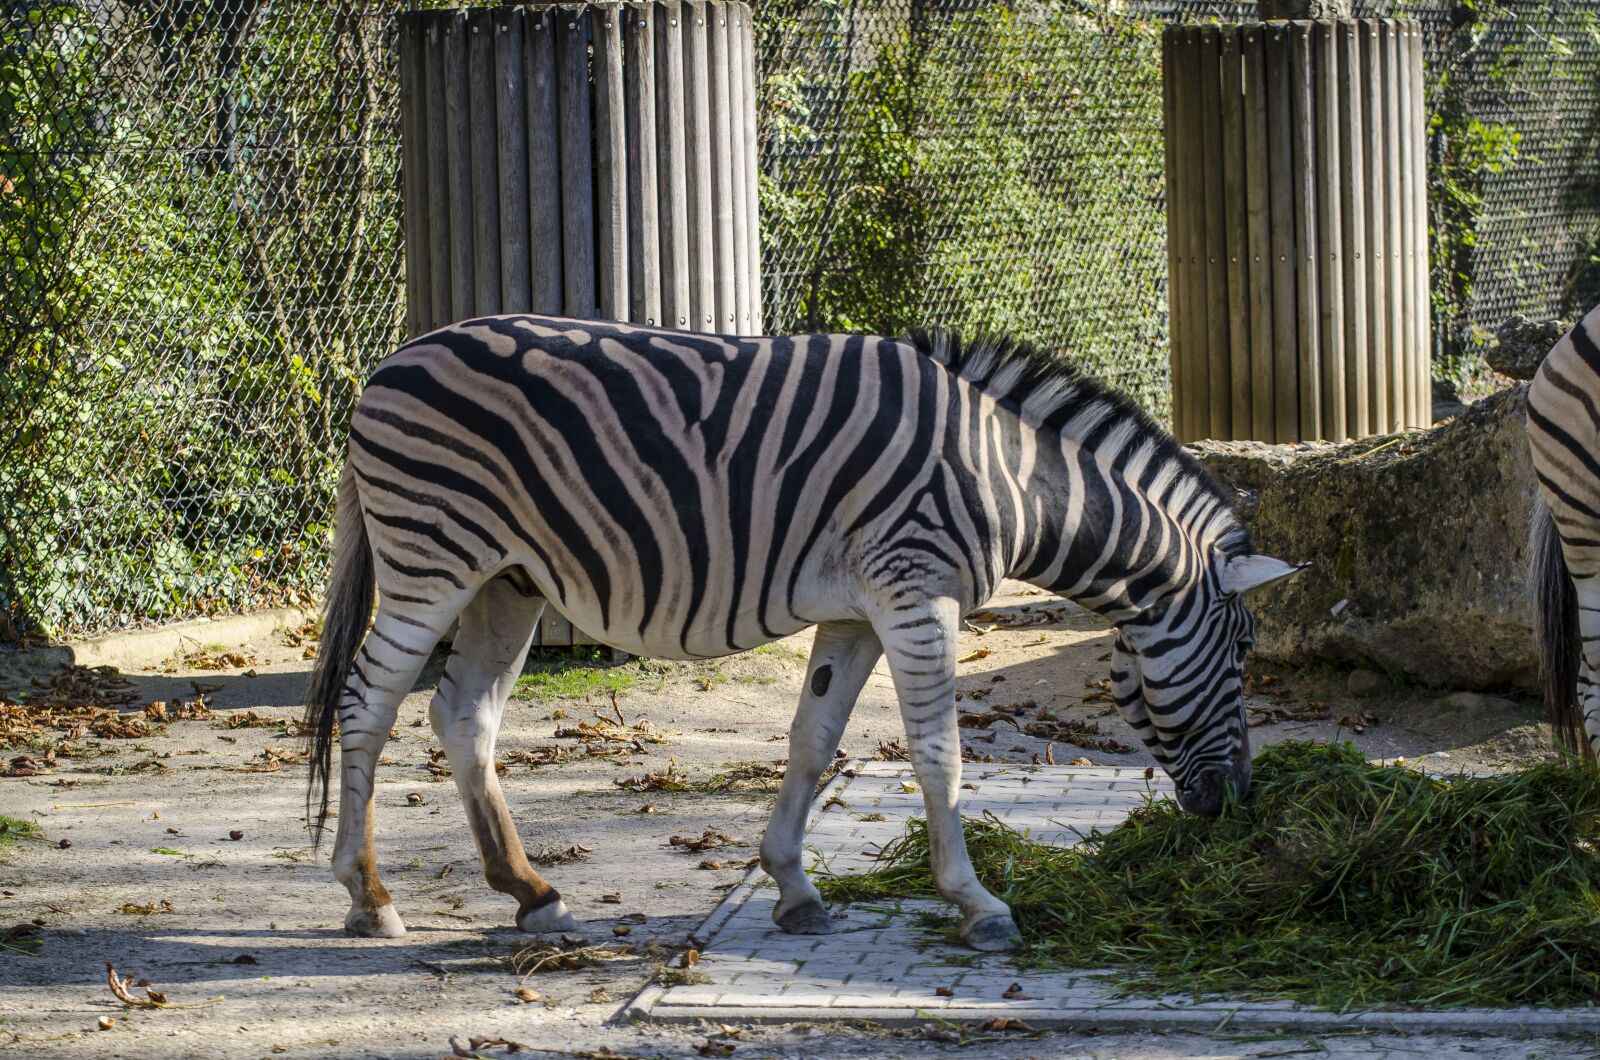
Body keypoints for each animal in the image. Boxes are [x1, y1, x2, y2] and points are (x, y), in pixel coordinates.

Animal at [304, 315, 1301, 950]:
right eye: (1246, 651)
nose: (1238, 805)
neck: (1008, 482)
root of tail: (387, 363)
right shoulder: (917, 593)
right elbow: (938, 754)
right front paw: (978, 903)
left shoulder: (856, 613)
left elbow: (815, 739)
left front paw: (793, 886)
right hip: (433, 557)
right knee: (368, 704)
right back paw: (368, 898)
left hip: (505, 582)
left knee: (463, 715)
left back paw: (533, 895)